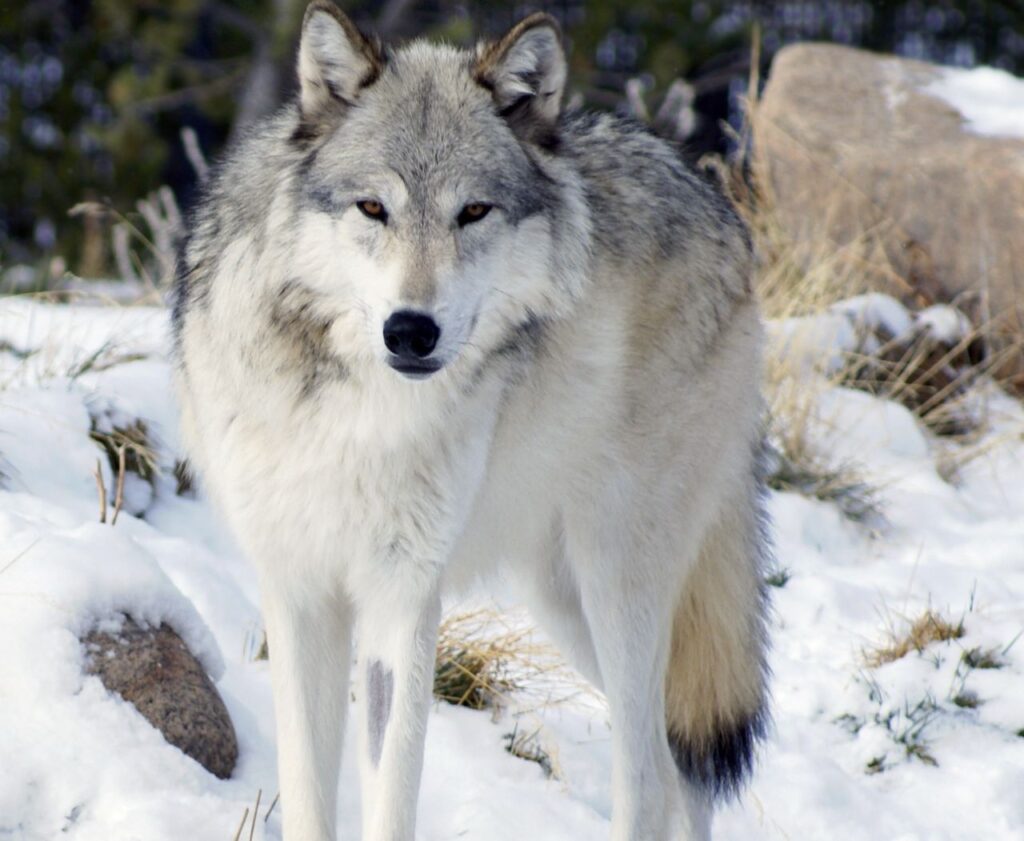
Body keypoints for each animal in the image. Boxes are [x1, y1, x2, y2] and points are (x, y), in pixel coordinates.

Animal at [173, 3, 770, 839]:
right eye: (373, 207)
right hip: (562, 597)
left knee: (651, 773)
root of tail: (720, 207)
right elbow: (307, 795)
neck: (353, 413)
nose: (410, 330)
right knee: (683, 770)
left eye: (473, 212)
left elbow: (391, 800)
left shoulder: (402, 599)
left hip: (617, 577)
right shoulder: (297, 592)